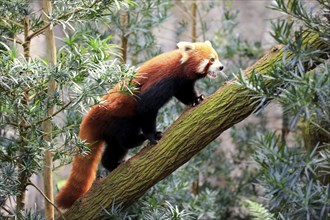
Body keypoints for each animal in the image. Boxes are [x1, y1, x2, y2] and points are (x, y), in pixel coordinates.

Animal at [55, 40, 224, 210]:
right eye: (211, 60)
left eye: (217, 57)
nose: (221, 67)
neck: (180, 65)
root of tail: (92, 114)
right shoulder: (164, 80)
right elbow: (146, 107)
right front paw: (152, 135)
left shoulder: (182, 83)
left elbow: (185, 93)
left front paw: (196, 99)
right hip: (119, 119)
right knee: (125, 139)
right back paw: (139, 139)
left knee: (116, 148)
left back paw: (112, 164)